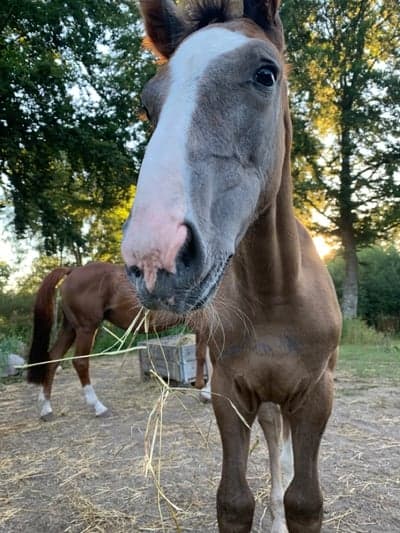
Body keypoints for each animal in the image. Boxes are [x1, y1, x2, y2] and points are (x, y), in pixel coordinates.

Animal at [26, 262, 208, 420]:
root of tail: (73, 271)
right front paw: (205, 392)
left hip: (70, 328)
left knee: (53, 358)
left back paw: (46, 408)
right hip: (86, 329)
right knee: (80, 362)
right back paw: (98, 406)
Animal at [121, 0, 340, 528]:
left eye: (266, 74)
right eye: (147, 104)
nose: (155, 256)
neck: (274, 292)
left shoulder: (316, 395)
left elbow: (305, 500)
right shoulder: (230, 390)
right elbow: (235, 499)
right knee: (275, 444)